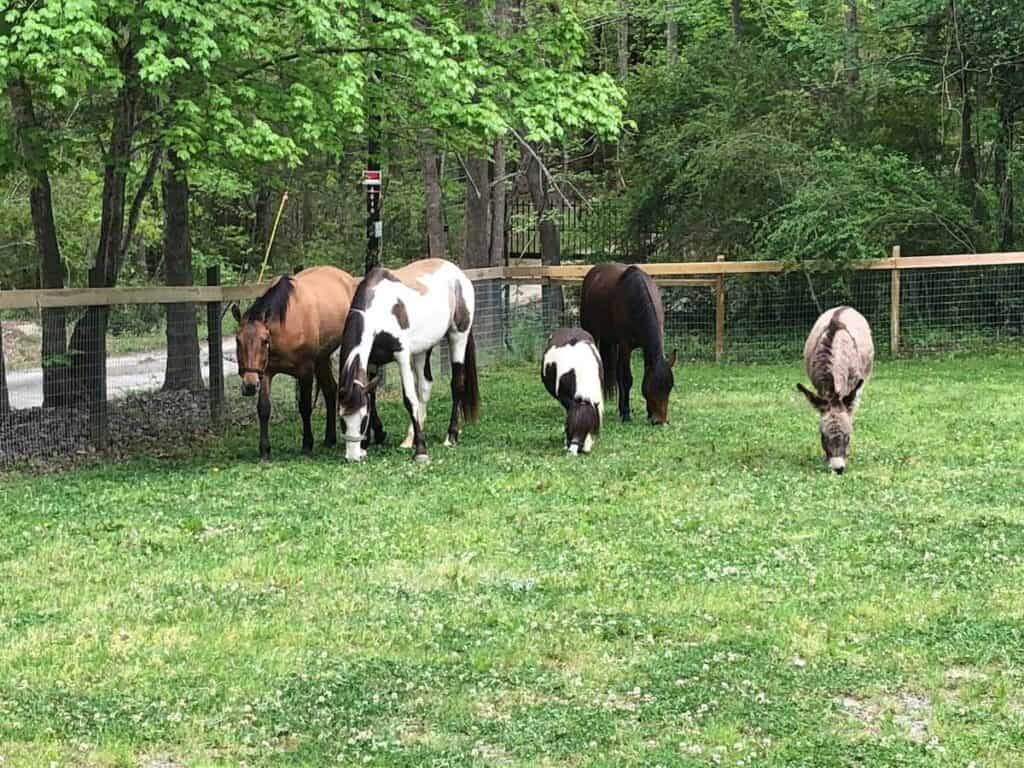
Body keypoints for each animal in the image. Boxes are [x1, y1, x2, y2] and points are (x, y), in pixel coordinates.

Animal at [232, 265, 383, 461]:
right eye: (237, 340)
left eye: (264, 341)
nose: (249, 385)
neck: (285, 325)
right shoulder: (265, 372)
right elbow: (264, 409)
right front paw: (265, 450)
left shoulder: (305, 371)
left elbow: (304, 407)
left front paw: (307, 445)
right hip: (322, 358)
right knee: (330, 390)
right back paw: (330, 438)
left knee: (368, 389)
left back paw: (376, 433)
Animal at [337, 258, 480, 462]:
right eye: (341, 419)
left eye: (363, 419)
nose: (353, 456)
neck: (380, 310)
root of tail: (459, 275)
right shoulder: (371, 361)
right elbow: (372, 397)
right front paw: (369, 442)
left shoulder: (402, 355)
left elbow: (409, 399)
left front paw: (421, 452)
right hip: (423, 349)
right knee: (425, 386)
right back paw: (409, 439)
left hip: (458, 336)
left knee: (457, 385)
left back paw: (450, 436)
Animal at [580, 262, 676, 425]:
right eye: (652, 387)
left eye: (669, 388)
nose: (659, 421)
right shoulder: (625, 345)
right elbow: (627, 378)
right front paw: (626, 414)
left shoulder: (644, 347)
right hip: (592, 332)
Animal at [797, 306, 875, 474]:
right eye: (823, 437)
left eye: (848, 437)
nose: (838, 469)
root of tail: (844, 307)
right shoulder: (820, 390)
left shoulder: (852, 386)